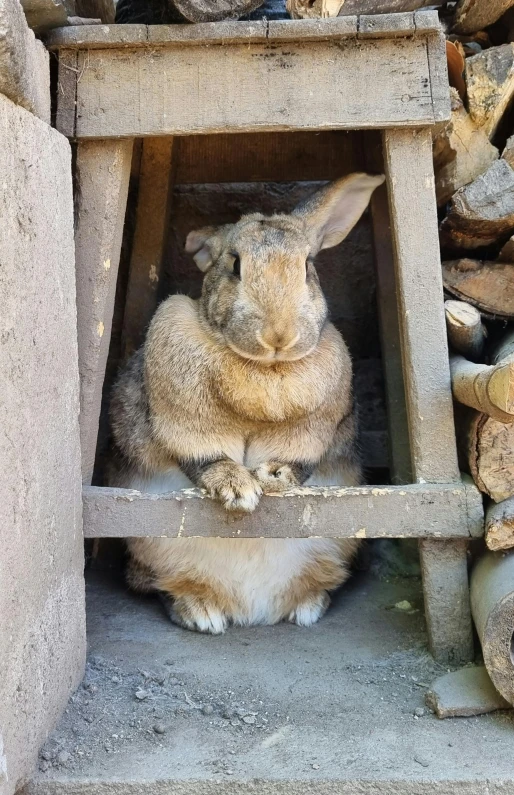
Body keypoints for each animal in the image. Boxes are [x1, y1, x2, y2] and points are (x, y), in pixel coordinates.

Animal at [108, 174, 382, 636]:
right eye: (235, 265)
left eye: (308, 267)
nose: (279, 334)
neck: (266, 368)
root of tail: (253, 608)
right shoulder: (185, 422)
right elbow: (204, 456)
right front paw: (238, 489)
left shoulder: (312, 429)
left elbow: (299, 459)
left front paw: (273, 477)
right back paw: (201, 612)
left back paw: (306, 606)